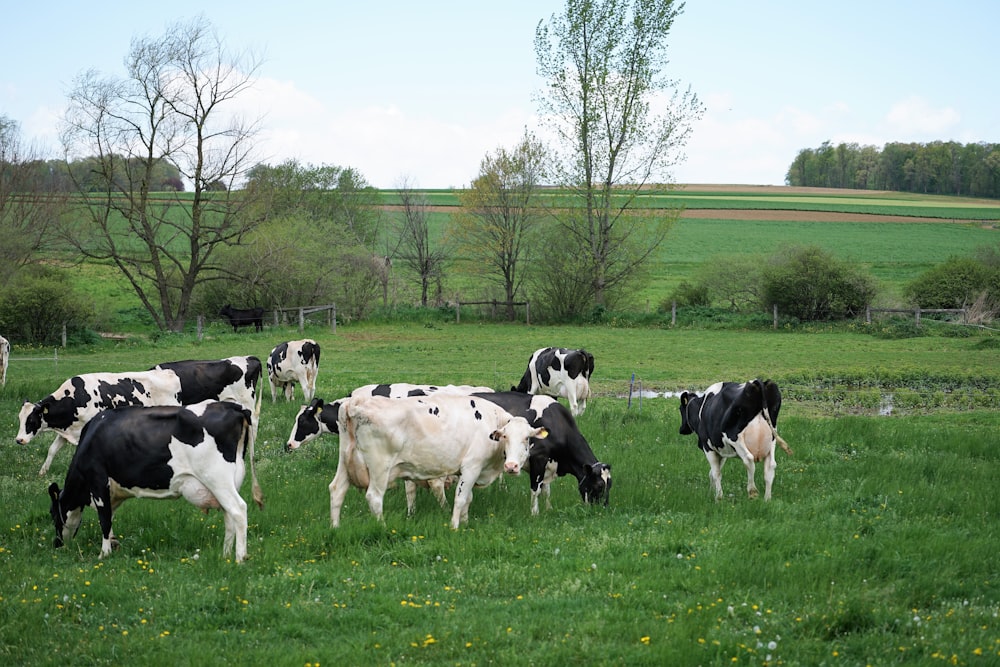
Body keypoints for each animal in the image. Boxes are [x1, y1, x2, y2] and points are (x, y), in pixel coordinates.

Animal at [49, 402, 262, 564]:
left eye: (52, 514)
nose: (57, 544)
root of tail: (234, 407)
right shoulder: (112, 493)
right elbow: (110, 518)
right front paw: (114, 545)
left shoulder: (98, 480)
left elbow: (104, 519)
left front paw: (103, 554)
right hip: (229, 481)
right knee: (229, 516)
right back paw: (225, 555)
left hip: (217, 478)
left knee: (238, 510)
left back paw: (239, 558)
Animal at [332, 394, 548, 528]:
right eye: (505, 437)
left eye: (526, 438)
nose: (511, 466)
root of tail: (356, 401)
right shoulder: (472, 466)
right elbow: (460, 498)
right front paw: (454, 526)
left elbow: (468, 498)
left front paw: (466, 522)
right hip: (379, 468)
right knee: (374, 497)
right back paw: (382, 527)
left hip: (344, 462)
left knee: (336, 491)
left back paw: (335, 527)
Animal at [474, 388, 608, 516]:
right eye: (599, 485)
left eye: (610, 485)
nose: (603, 510)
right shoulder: (538, 458)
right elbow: (536, 489)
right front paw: (535, 513)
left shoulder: (548, 464)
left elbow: (546, 490)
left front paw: (549, 509)